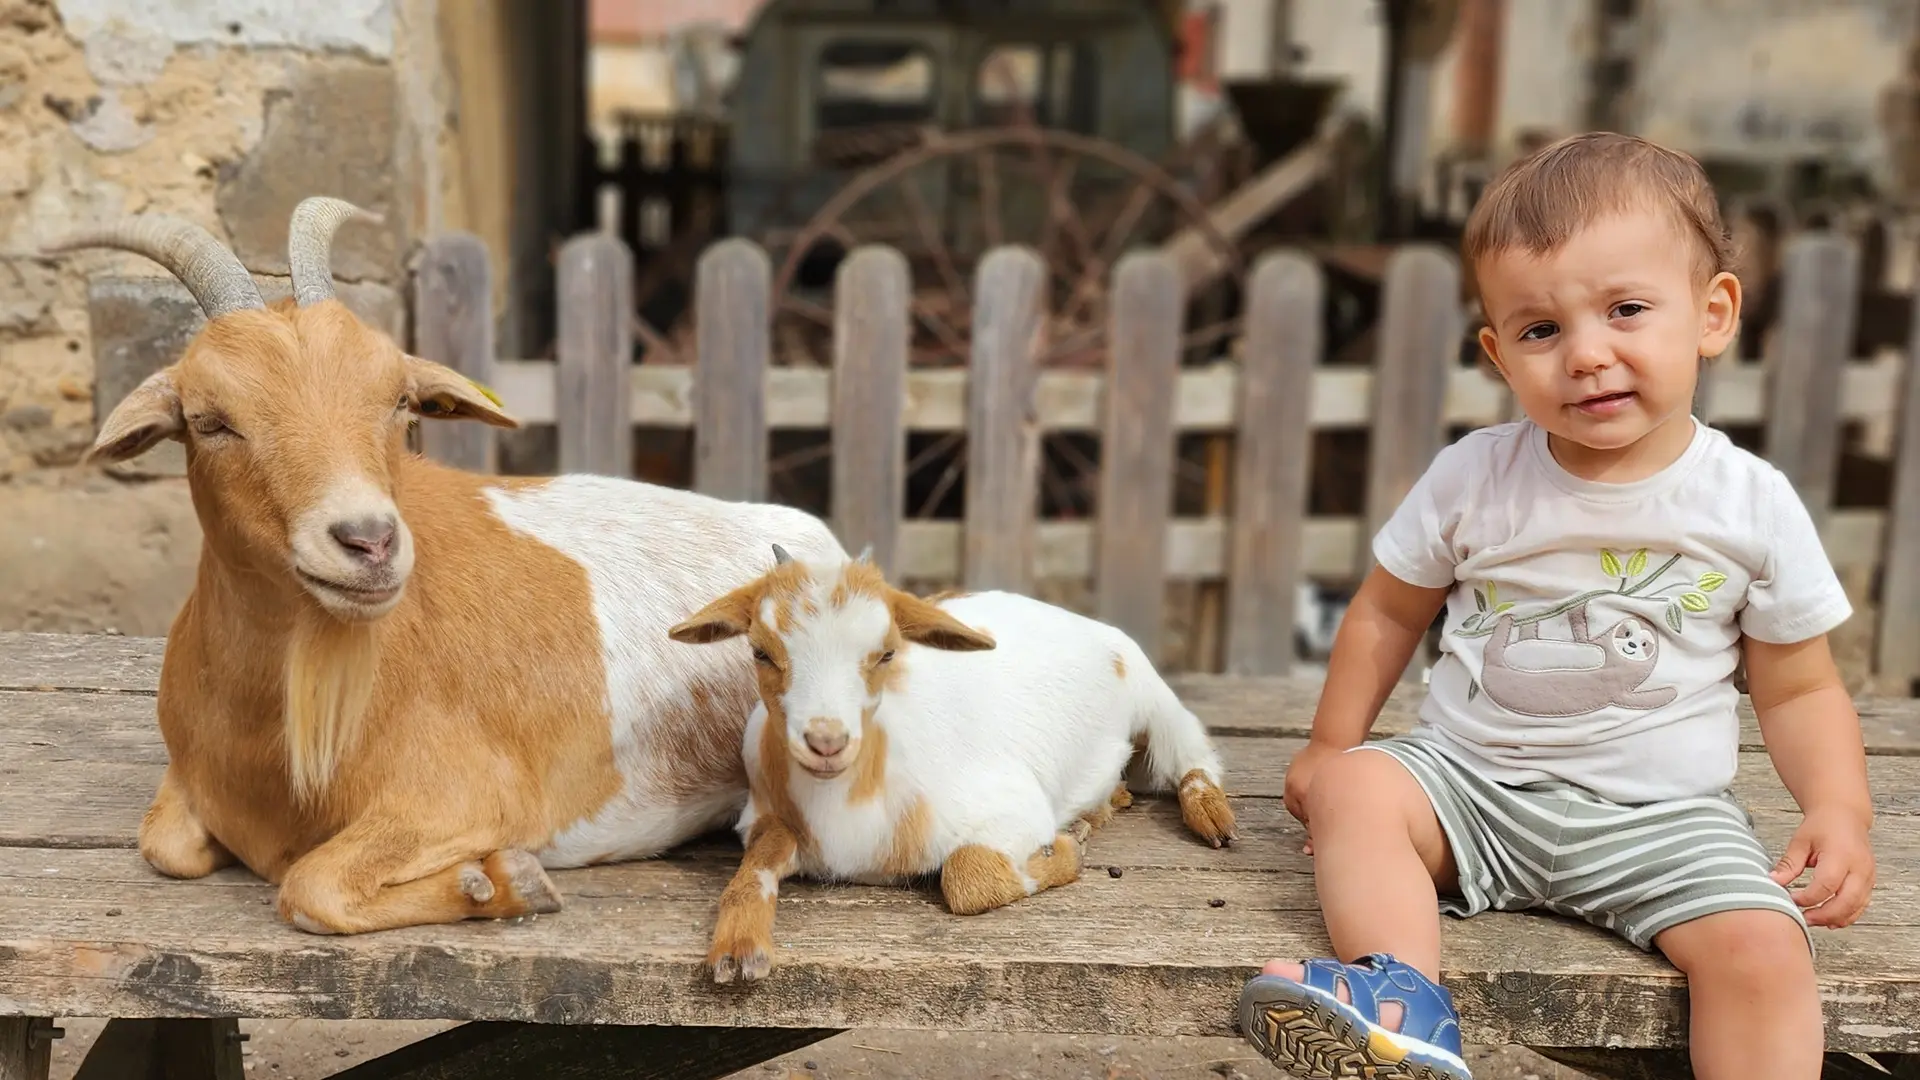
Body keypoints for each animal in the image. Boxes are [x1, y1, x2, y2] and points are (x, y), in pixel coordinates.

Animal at [48, 201, 844, 933]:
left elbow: (311, 886)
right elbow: (166, 844)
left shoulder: (469, 795)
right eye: (210, 421)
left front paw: (506, 881)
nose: (368, 541)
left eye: (399, 401)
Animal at [668, 545, 1236, 976]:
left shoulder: (1015, 807)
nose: (826, 741)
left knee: (1192, 752)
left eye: (886, 652)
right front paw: (738, 950)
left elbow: (966, 875)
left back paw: (1210, 818)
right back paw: (1108, 801)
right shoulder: (765, 815)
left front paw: (1066, 850)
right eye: (761, 652)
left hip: (1153, 694)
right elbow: (756, 864)